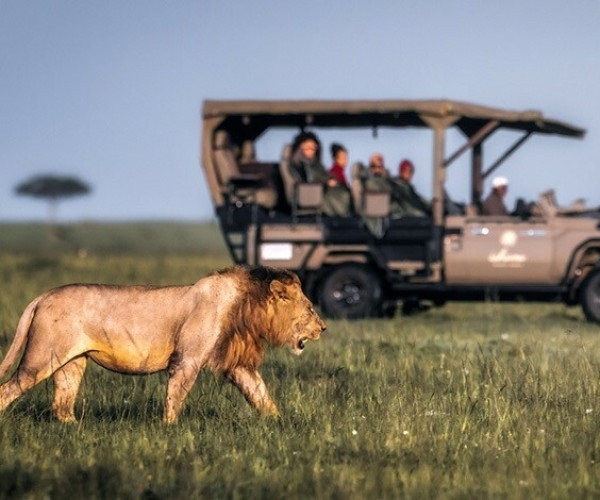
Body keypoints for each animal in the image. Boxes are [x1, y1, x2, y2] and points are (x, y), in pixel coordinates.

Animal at [0, 266, 324, 422]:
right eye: (310, 309)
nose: (323, 327)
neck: (247, 309)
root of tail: (43, 295)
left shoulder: (238, 364)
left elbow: (260, 393)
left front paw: (279, 423)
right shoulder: (188, 358)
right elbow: (176, 394)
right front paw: (169, 427)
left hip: (71, 362)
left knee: (61, 404)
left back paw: (74, 427)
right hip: (41, 358)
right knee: (8, 389)